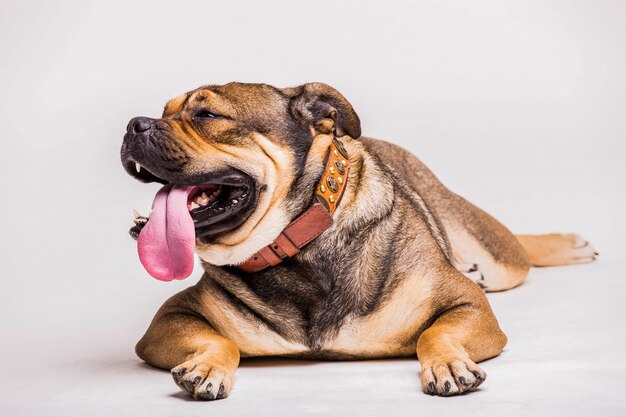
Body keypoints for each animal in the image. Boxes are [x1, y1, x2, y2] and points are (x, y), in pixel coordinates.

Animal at [120, 82, 596, 400]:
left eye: (207, 116)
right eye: (164, 110)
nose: (133, 124)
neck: (299, 244)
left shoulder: (470, 305)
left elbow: (436, 332)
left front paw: (448, 362)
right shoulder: (169, 320)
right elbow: (219, 339)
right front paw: (207, 367)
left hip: (493, 254)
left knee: (517, 252)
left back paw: (564, 244)